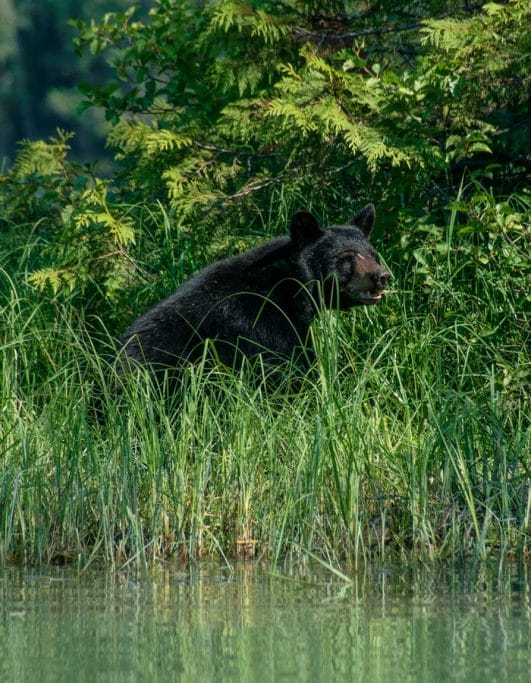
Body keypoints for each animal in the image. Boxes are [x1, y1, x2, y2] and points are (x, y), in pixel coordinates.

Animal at [116, 204, 391, 390]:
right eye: (347, 256)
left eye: (372, 253)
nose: (382, 276)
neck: (288, 286)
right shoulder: (262, 325)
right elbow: (287, 370)